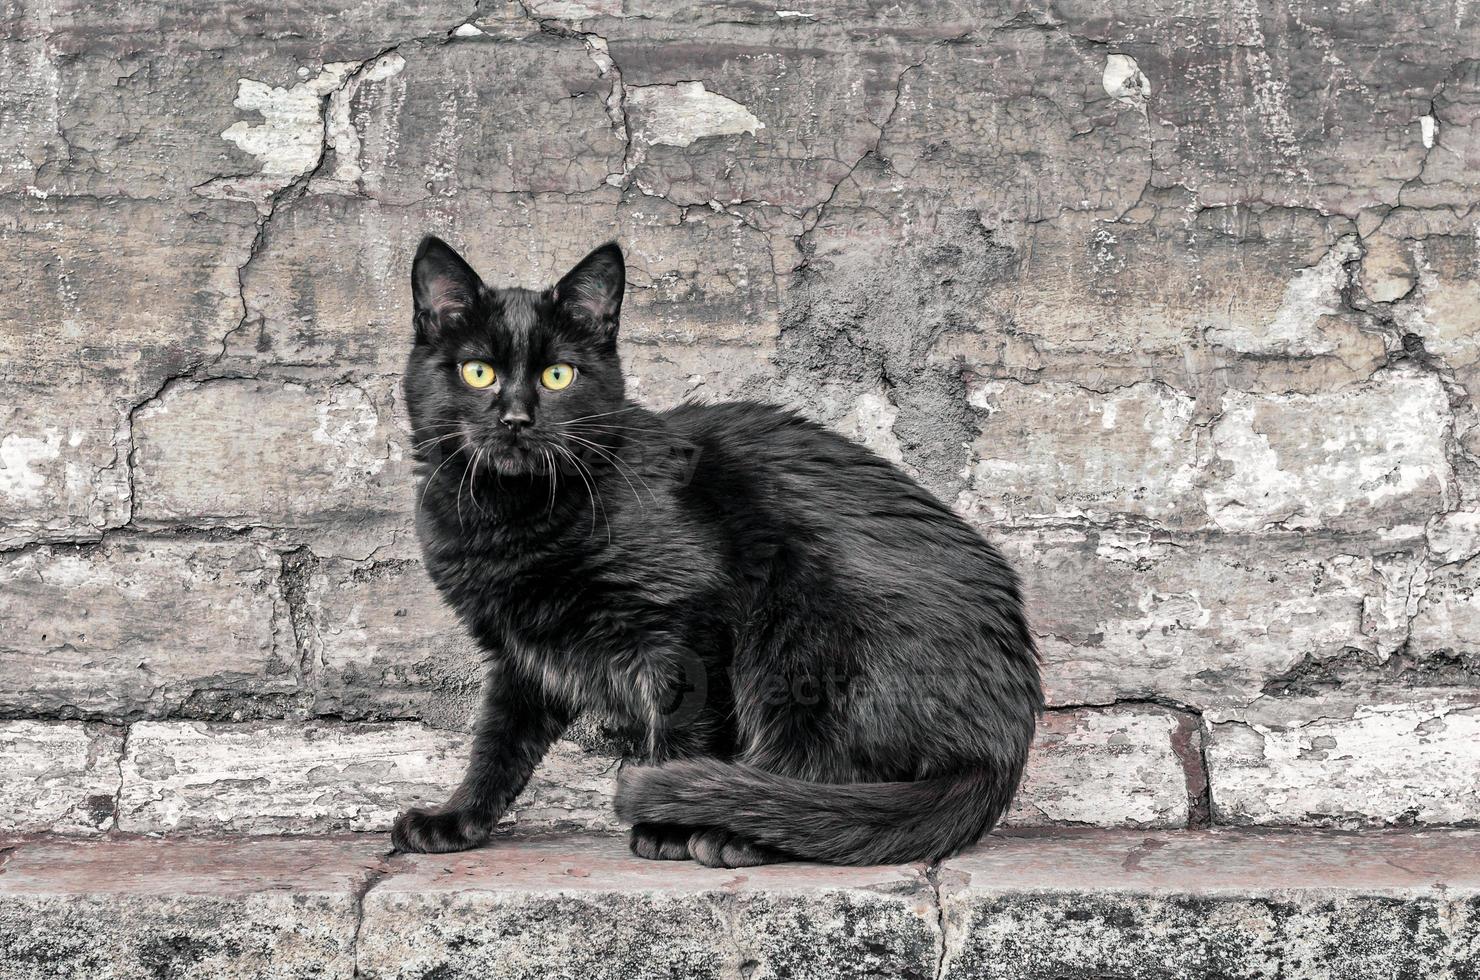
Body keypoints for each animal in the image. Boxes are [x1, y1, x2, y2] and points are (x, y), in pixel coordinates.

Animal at [393, 238, 1041, 870]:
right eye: (477, 371)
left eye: (558, 375)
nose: (516, 419)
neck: (513, 518)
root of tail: (1001, 745)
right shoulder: (522, 652)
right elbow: (498, 744)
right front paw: (457, 819)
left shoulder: (683, 622)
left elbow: (684, 728)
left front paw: (666, 830)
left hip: (803, 641)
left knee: (833, 780)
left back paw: (736, 835)